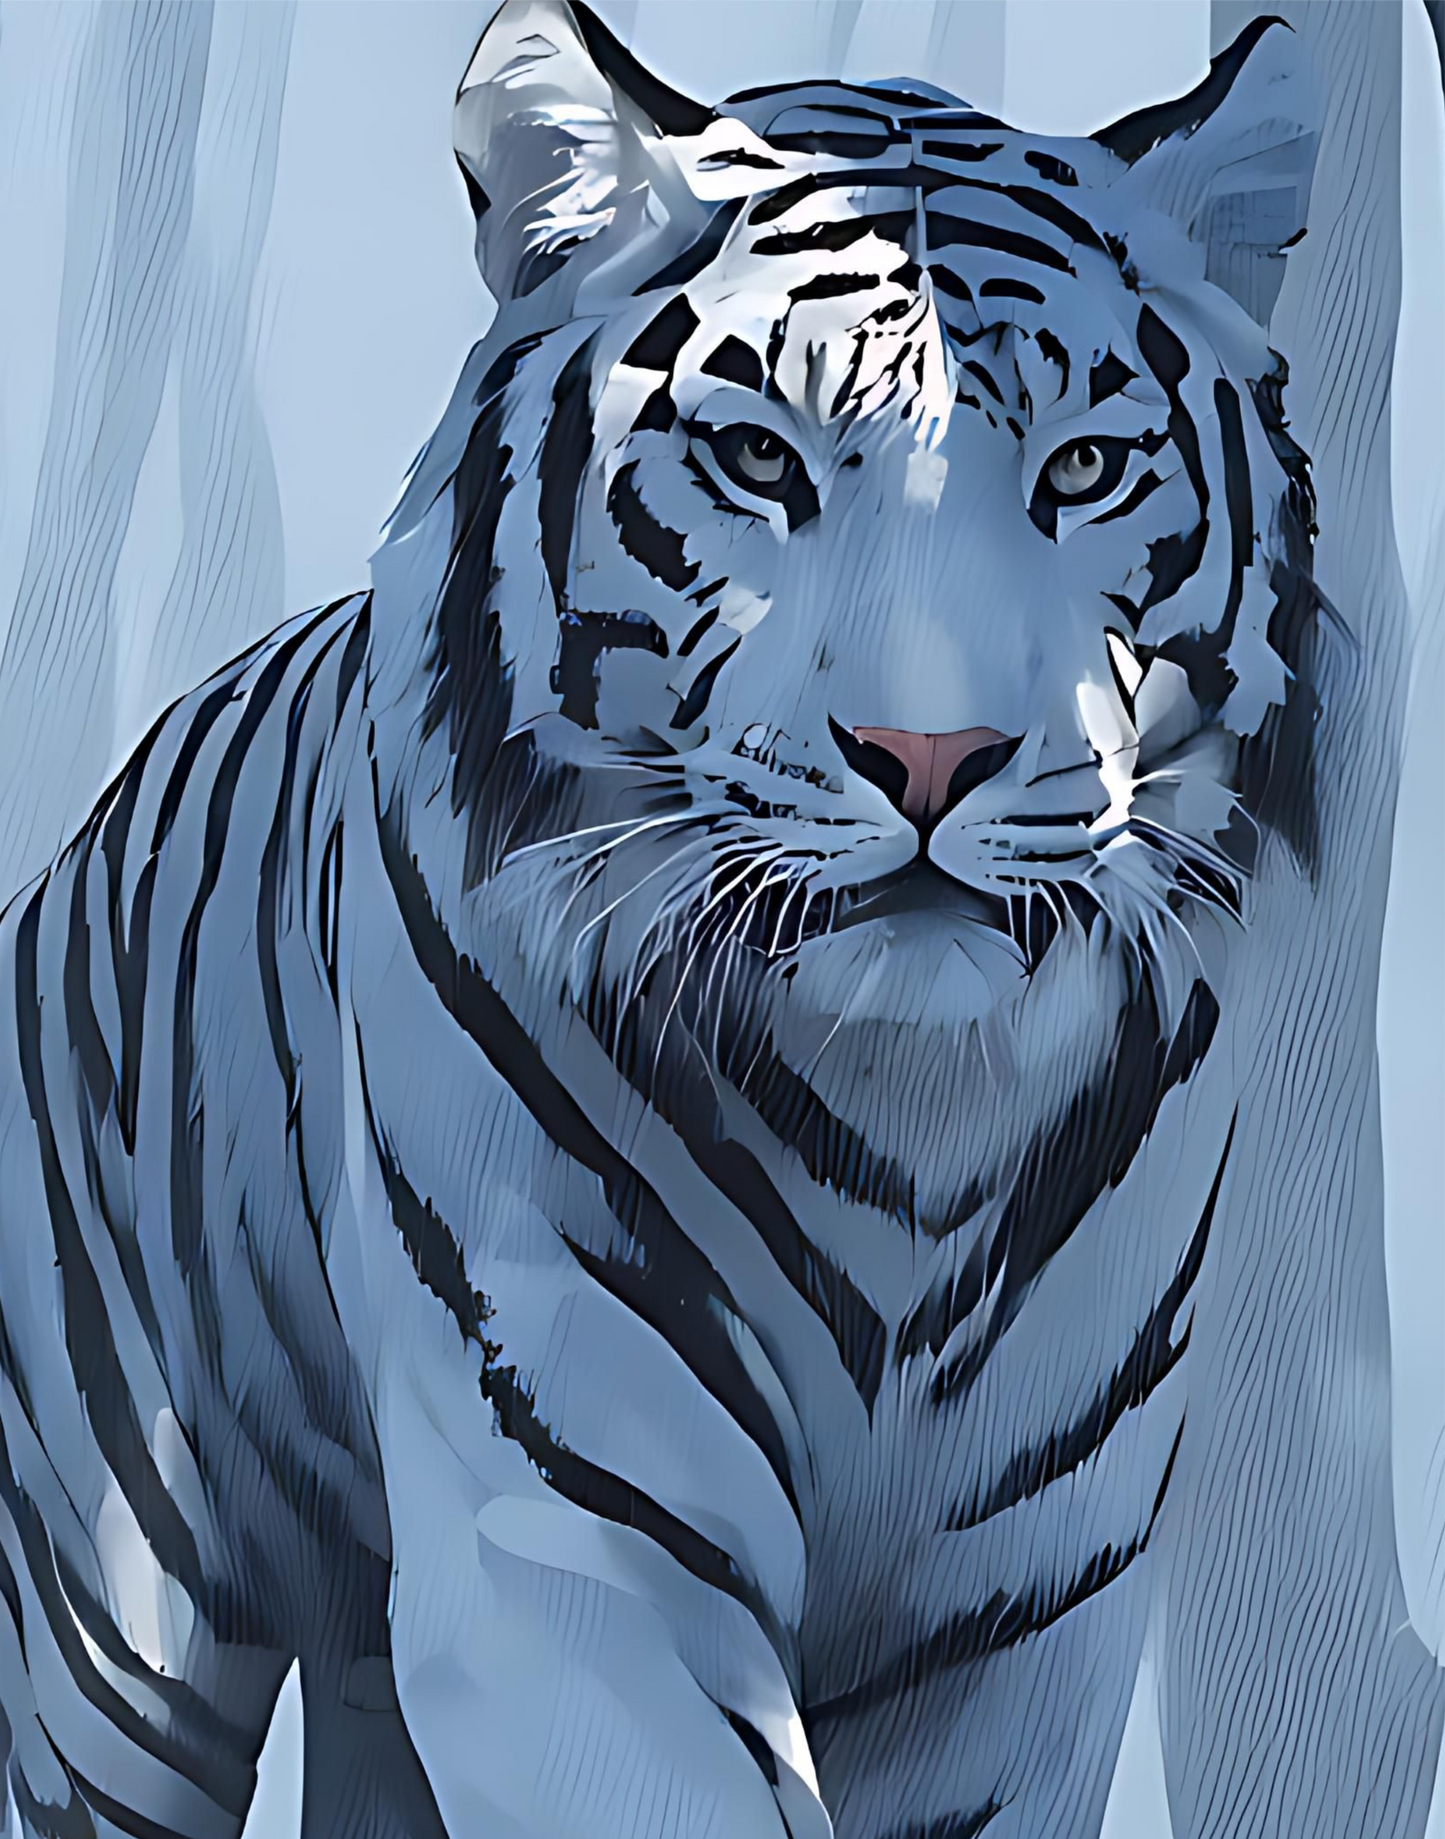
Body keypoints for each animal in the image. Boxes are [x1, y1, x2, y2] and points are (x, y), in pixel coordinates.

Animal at [0, 1, 1435, 1835]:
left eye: (1084, 469)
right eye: (761, 458)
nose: (930, 753)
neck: (916, 1103)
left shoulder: (1024, 1618)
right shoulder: (575, 1512)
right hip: (117, 1614)